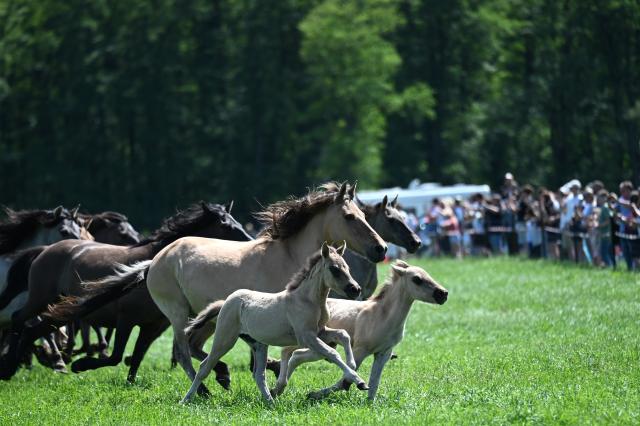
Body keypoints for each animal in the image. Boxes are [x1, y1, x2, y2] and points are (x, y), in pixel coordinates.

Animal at [0, 202, 250, 381]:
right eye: (226, 225)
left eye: (237, 221)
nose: (250, 242)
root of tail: (44, 249)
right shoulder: (126, 319)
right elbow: (116, 356)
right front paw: (81, 365)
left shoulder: (152, 326)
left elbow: (138, 356)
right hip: (41, 299)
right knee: (19, 319)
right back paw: (11, 367)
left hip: (62, 308)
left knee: (35, 329)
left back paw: (43, 362)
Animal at [181, 242, 368, 404]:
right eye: (334, 269)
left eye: (347, 268)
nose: (355, 289)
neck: (307, 300)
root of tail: (227, 300)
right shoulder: (306, 337)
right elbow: (332, 353)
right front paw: (359, 381)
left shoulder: (319, 332)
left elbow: (343, 335)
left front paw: (353, 368)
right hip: (225, 339)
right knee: (204, 367)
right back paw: (186, 400)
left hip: (258, 344)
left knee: (259, 375)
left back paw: (271, 402)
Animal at [276, 260, 448, 401]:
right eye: (417, 279)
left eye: (428, 274)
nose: (443, 294)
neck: (381, 316)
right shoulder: (360, 350)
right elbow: (346, 380)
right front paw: (314, 394)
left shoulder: (383, 353)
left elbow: (374, 382)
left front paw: (370, 404)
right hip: (310, 341)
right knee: (290, 352)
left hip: (322, 346)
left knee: (297, 356)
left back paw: (277, 389)